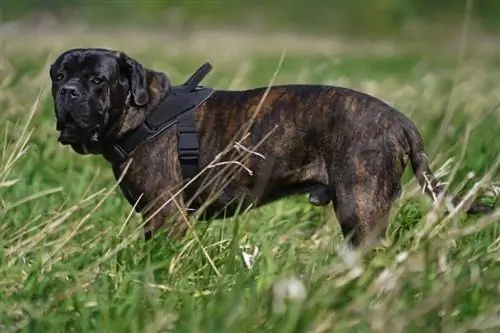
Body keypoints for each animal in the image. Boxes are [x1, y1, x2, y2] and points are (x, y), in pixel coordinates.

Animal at [48, 48, 494, 248]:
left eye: (98, 80)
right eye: (58, 75)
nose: (68, 92)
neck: (141, 113)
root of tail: (401, 121)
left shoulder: (165, 212)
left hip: (360, 206)